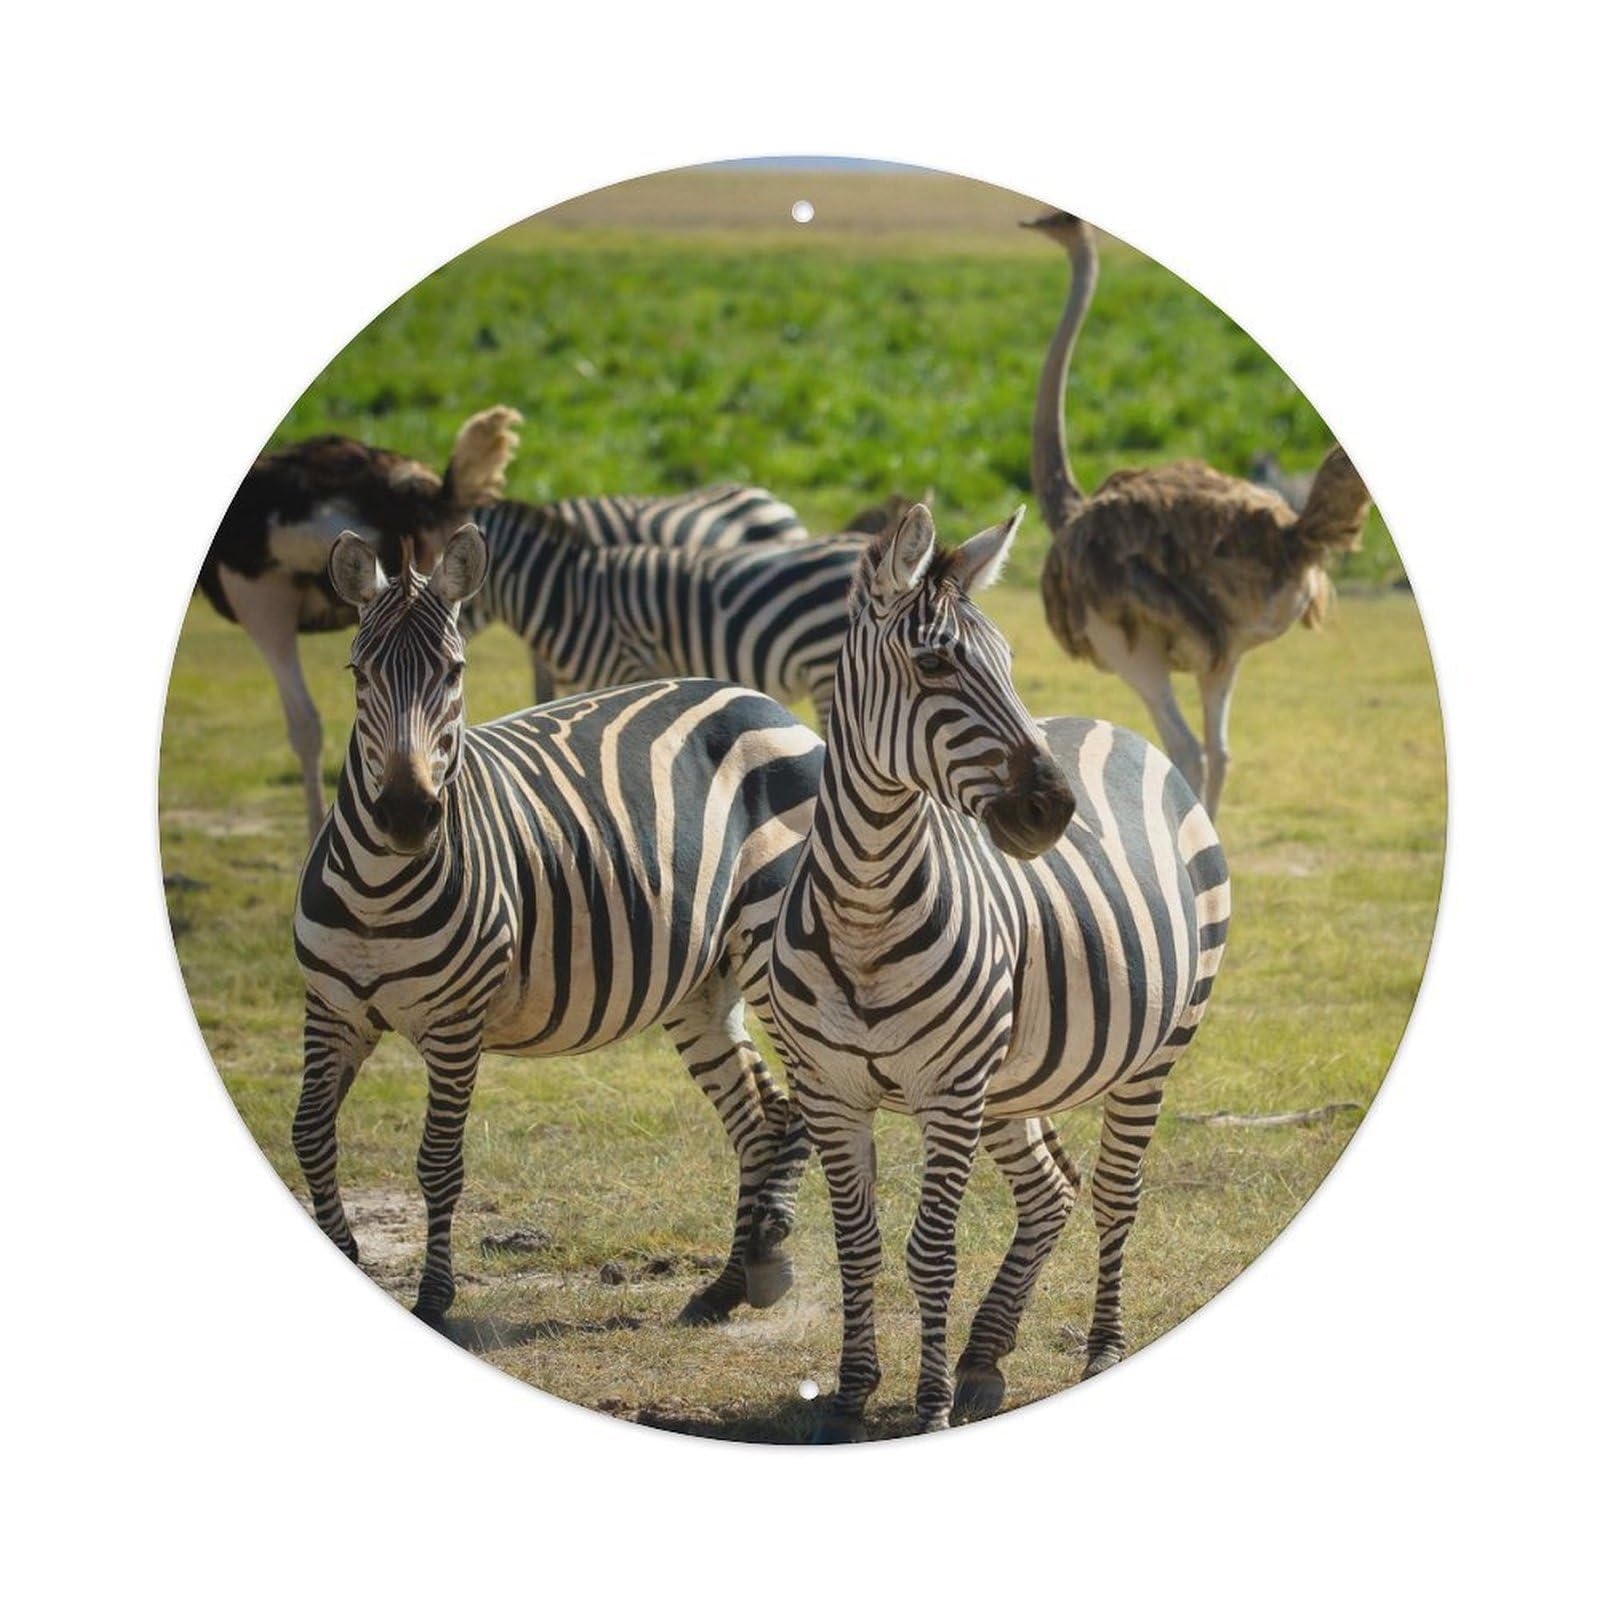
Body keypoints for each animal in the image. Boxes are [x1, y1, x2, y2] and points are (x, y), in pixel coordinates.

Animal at [293, 522, 822, 1327]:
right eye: (358, 673)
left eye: (454, 672)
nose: (408, 816)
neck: (381, 887)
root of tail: (755, 698)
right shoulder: (332, 1010)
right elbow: (310, 1137)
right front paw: (345, 1261)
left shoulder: (455, 1023)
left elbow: (438, 1162)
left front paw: (435, 1298)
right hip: (704, 979)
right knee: (760, 1117)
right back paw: (729, 1283)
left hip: (768, 939)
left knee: (793, 1106)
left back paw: (764, 1253)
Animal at [757, 504, 1231, 1440]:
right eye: (935, 663)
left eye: (1010, 663)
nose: (1053, 810)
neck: (864, 909)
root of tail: (1120, 729)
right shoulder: (829, 1089)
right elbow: (858, 1244)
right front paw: (852, 1398)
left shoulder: (949, 1090)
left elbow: (931, 1250)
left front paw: (930, 1407)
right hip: (1013, 1078)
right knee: (1050, 1191)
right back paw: (984, 1358)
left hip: (1154, 1052)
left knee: (1115, 1194)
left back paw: (1101, 1350)